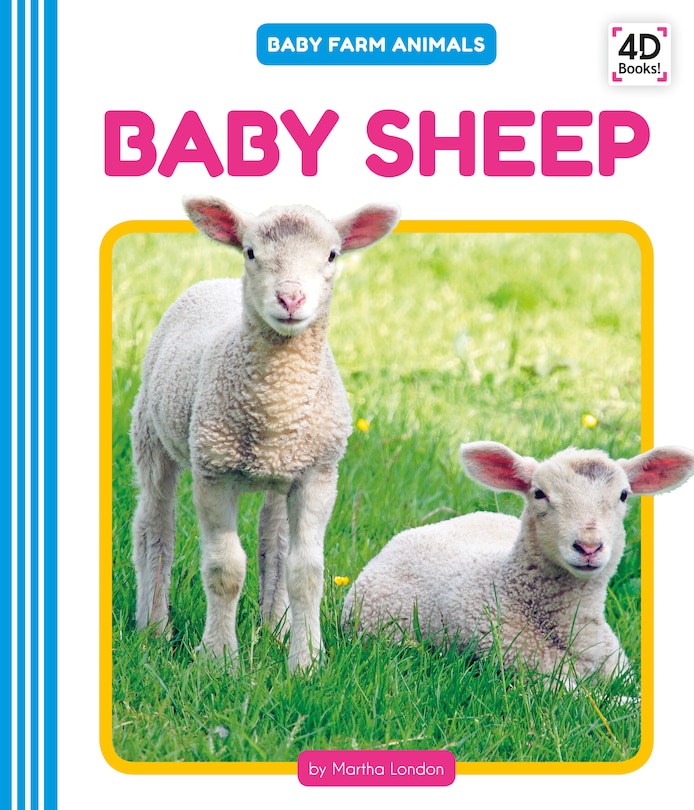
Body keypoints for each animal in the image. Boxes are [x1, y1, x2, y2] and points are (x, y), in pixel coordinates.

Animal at [130, 196, 400, 672]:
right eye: (251, 252)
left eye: (332, 255)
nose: (290, 298)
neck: (277, 405)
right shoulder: (213, 472)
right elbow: (225, 569)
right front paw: (219, 659)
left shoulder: (317, 474)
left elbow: (306, 570)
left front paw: (306, 662)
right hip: (151, 432)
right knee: (154, 525)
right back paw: (154, 628)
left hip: (283, 472)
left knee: (273, 538)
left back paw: (276, 629)